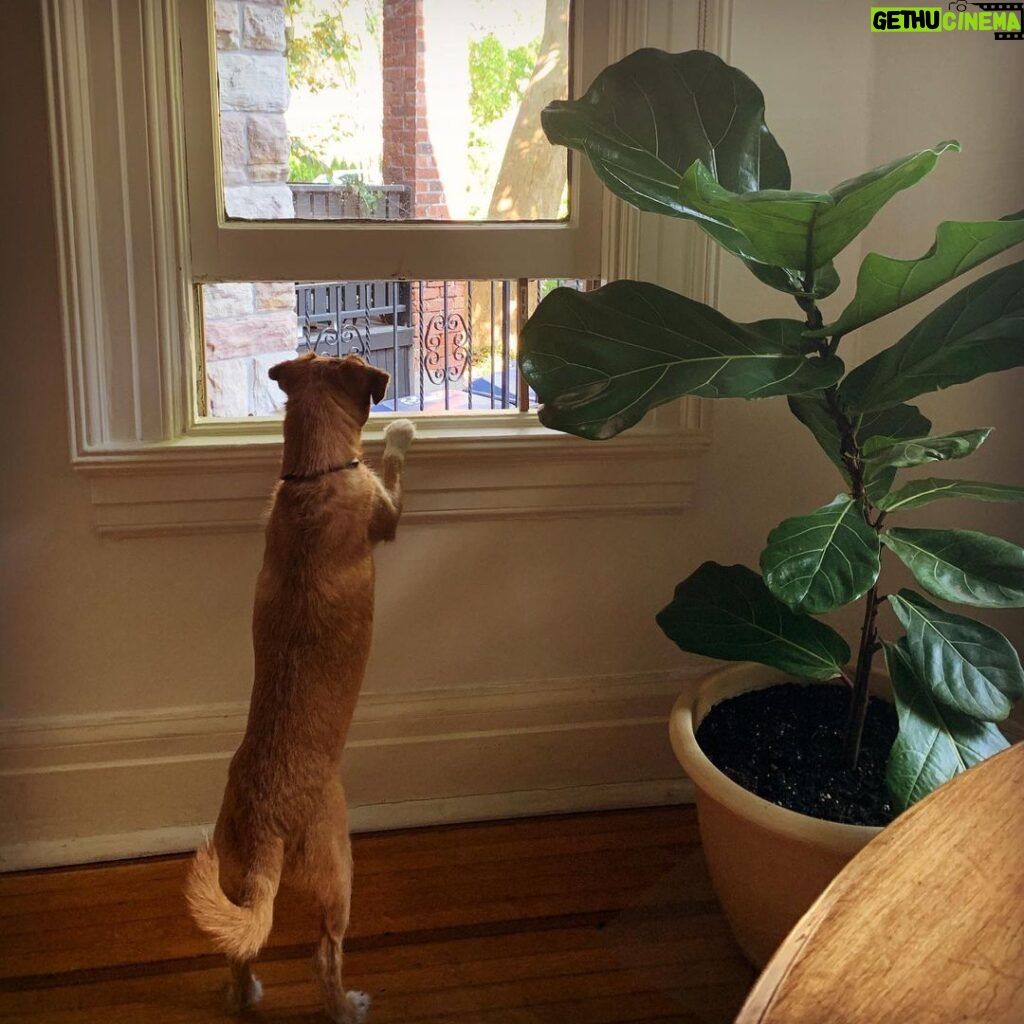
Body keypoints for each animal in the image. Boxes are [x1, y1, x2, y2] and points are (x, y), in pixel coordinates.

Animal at [188, 354, 415, 1024]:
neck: (314, 477)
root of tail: (267, 825)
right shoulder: (386, 510)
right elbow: (392, 469)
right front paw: (400, 433)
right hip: (339, 869)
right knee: (325, 956)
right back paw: (347, 1006)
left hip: (232, 874)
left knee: (240, 948)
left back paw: (245, 995)